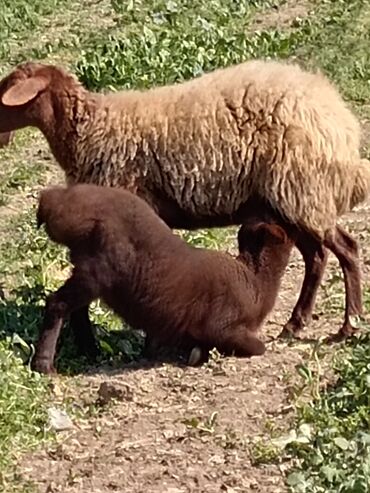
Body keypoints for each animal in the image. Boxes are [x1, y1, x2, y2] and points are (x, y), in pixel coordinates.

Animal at [0, 57, 368, 344]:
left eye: (7, 88)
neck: (89, 130)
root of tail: (342, 124)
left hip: (302, 189)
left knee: (346, 249)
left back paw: (348, 325)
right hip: (293, 200)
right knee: (318, 256)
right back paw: (296, 323)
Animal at [33, 184, 294, 372]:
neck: (256, 282)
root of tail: (52, 202)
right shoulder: (223, 325)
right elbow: (258, 347)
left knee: (75, 310)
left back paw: (90, 351)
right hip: (97, 271)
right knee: (57, 303)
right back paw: (44, 365)